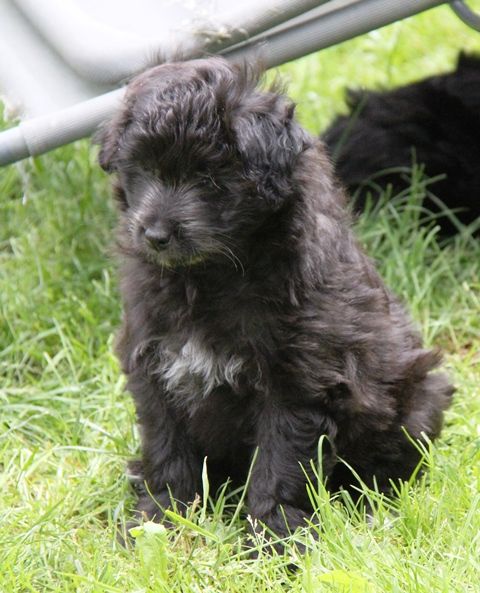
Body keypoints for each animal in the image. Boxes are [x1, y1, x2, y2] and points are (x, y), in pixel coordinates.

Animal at [97, 56, 454, 540]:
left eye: (208, 176)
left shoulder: (296, 383)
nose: (154, 235)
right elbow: (167, 447)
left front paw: (274, 537)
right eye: (142, 170)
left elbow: (279, 464)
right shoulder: (152, 364)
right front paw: (159, 519)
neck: (211, 275)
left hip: (417, 401)